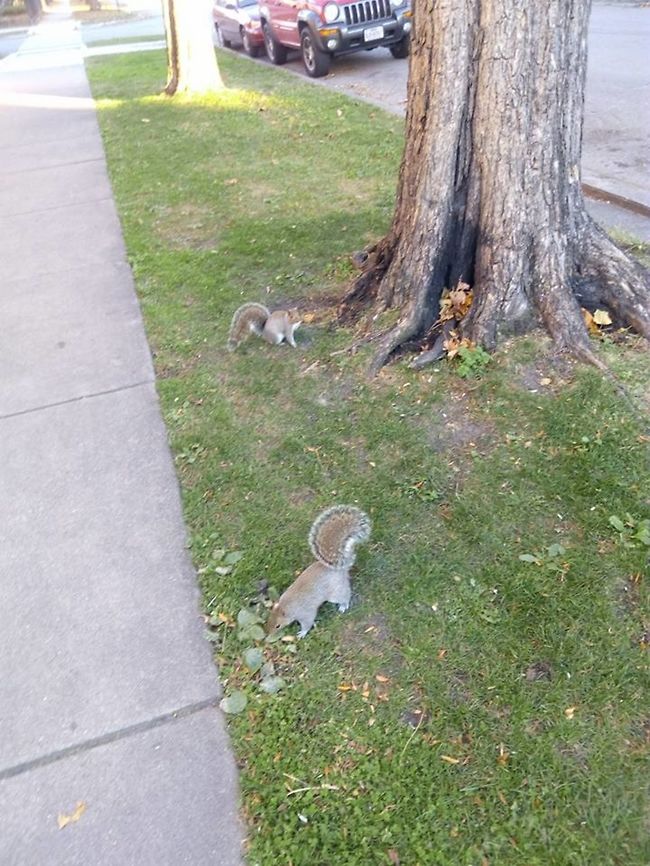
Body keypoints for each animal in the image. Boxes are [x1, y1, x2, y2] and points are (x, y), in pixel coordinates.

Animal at [267, 505, 371, 638]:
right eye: (268, 619)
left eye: (278, 626)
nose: (268, 634)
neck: (287, 606)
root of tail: (340, 568)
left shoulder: (305, 613)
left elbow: (308, 622)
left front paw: (302, 633)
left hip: (335, 593)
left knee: (345, 595)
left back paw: (343, 605)